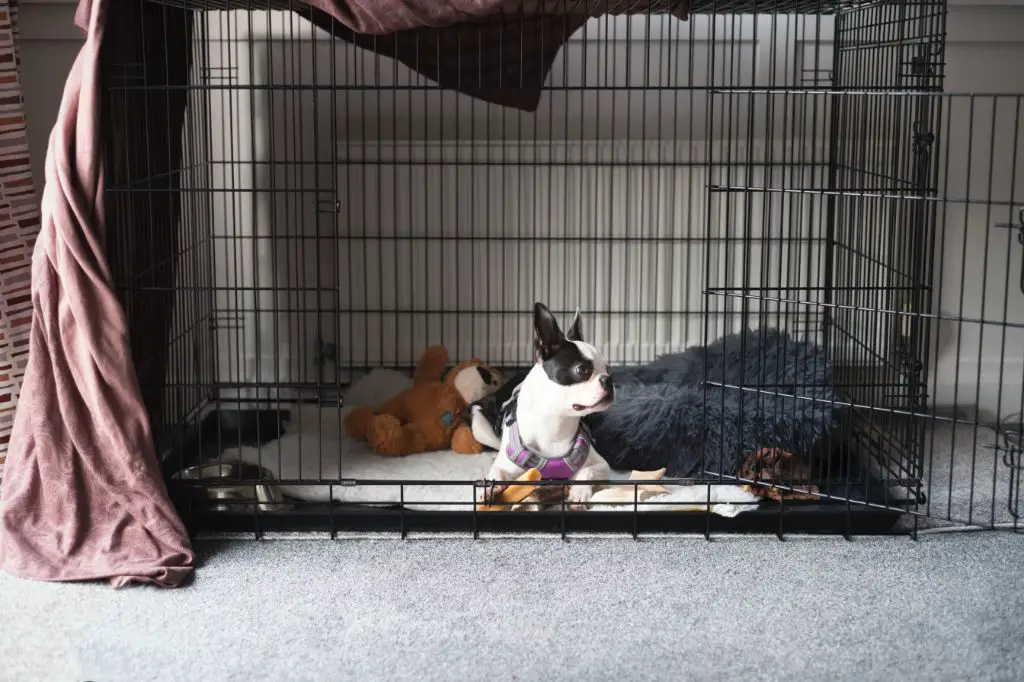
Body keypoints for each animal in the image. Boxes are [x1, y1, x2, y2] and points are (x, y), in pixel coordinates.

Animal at [471, 301, 614, 503]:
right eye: (582, 370)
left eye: (608, 369)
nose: (608, 380)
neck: (556, 421)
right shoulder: (505, 466)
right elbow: (497, 472)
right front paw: (488, 488)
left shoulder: (601, 465)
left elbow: (587, 472)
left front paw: (579, 492)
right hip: (478, 423)